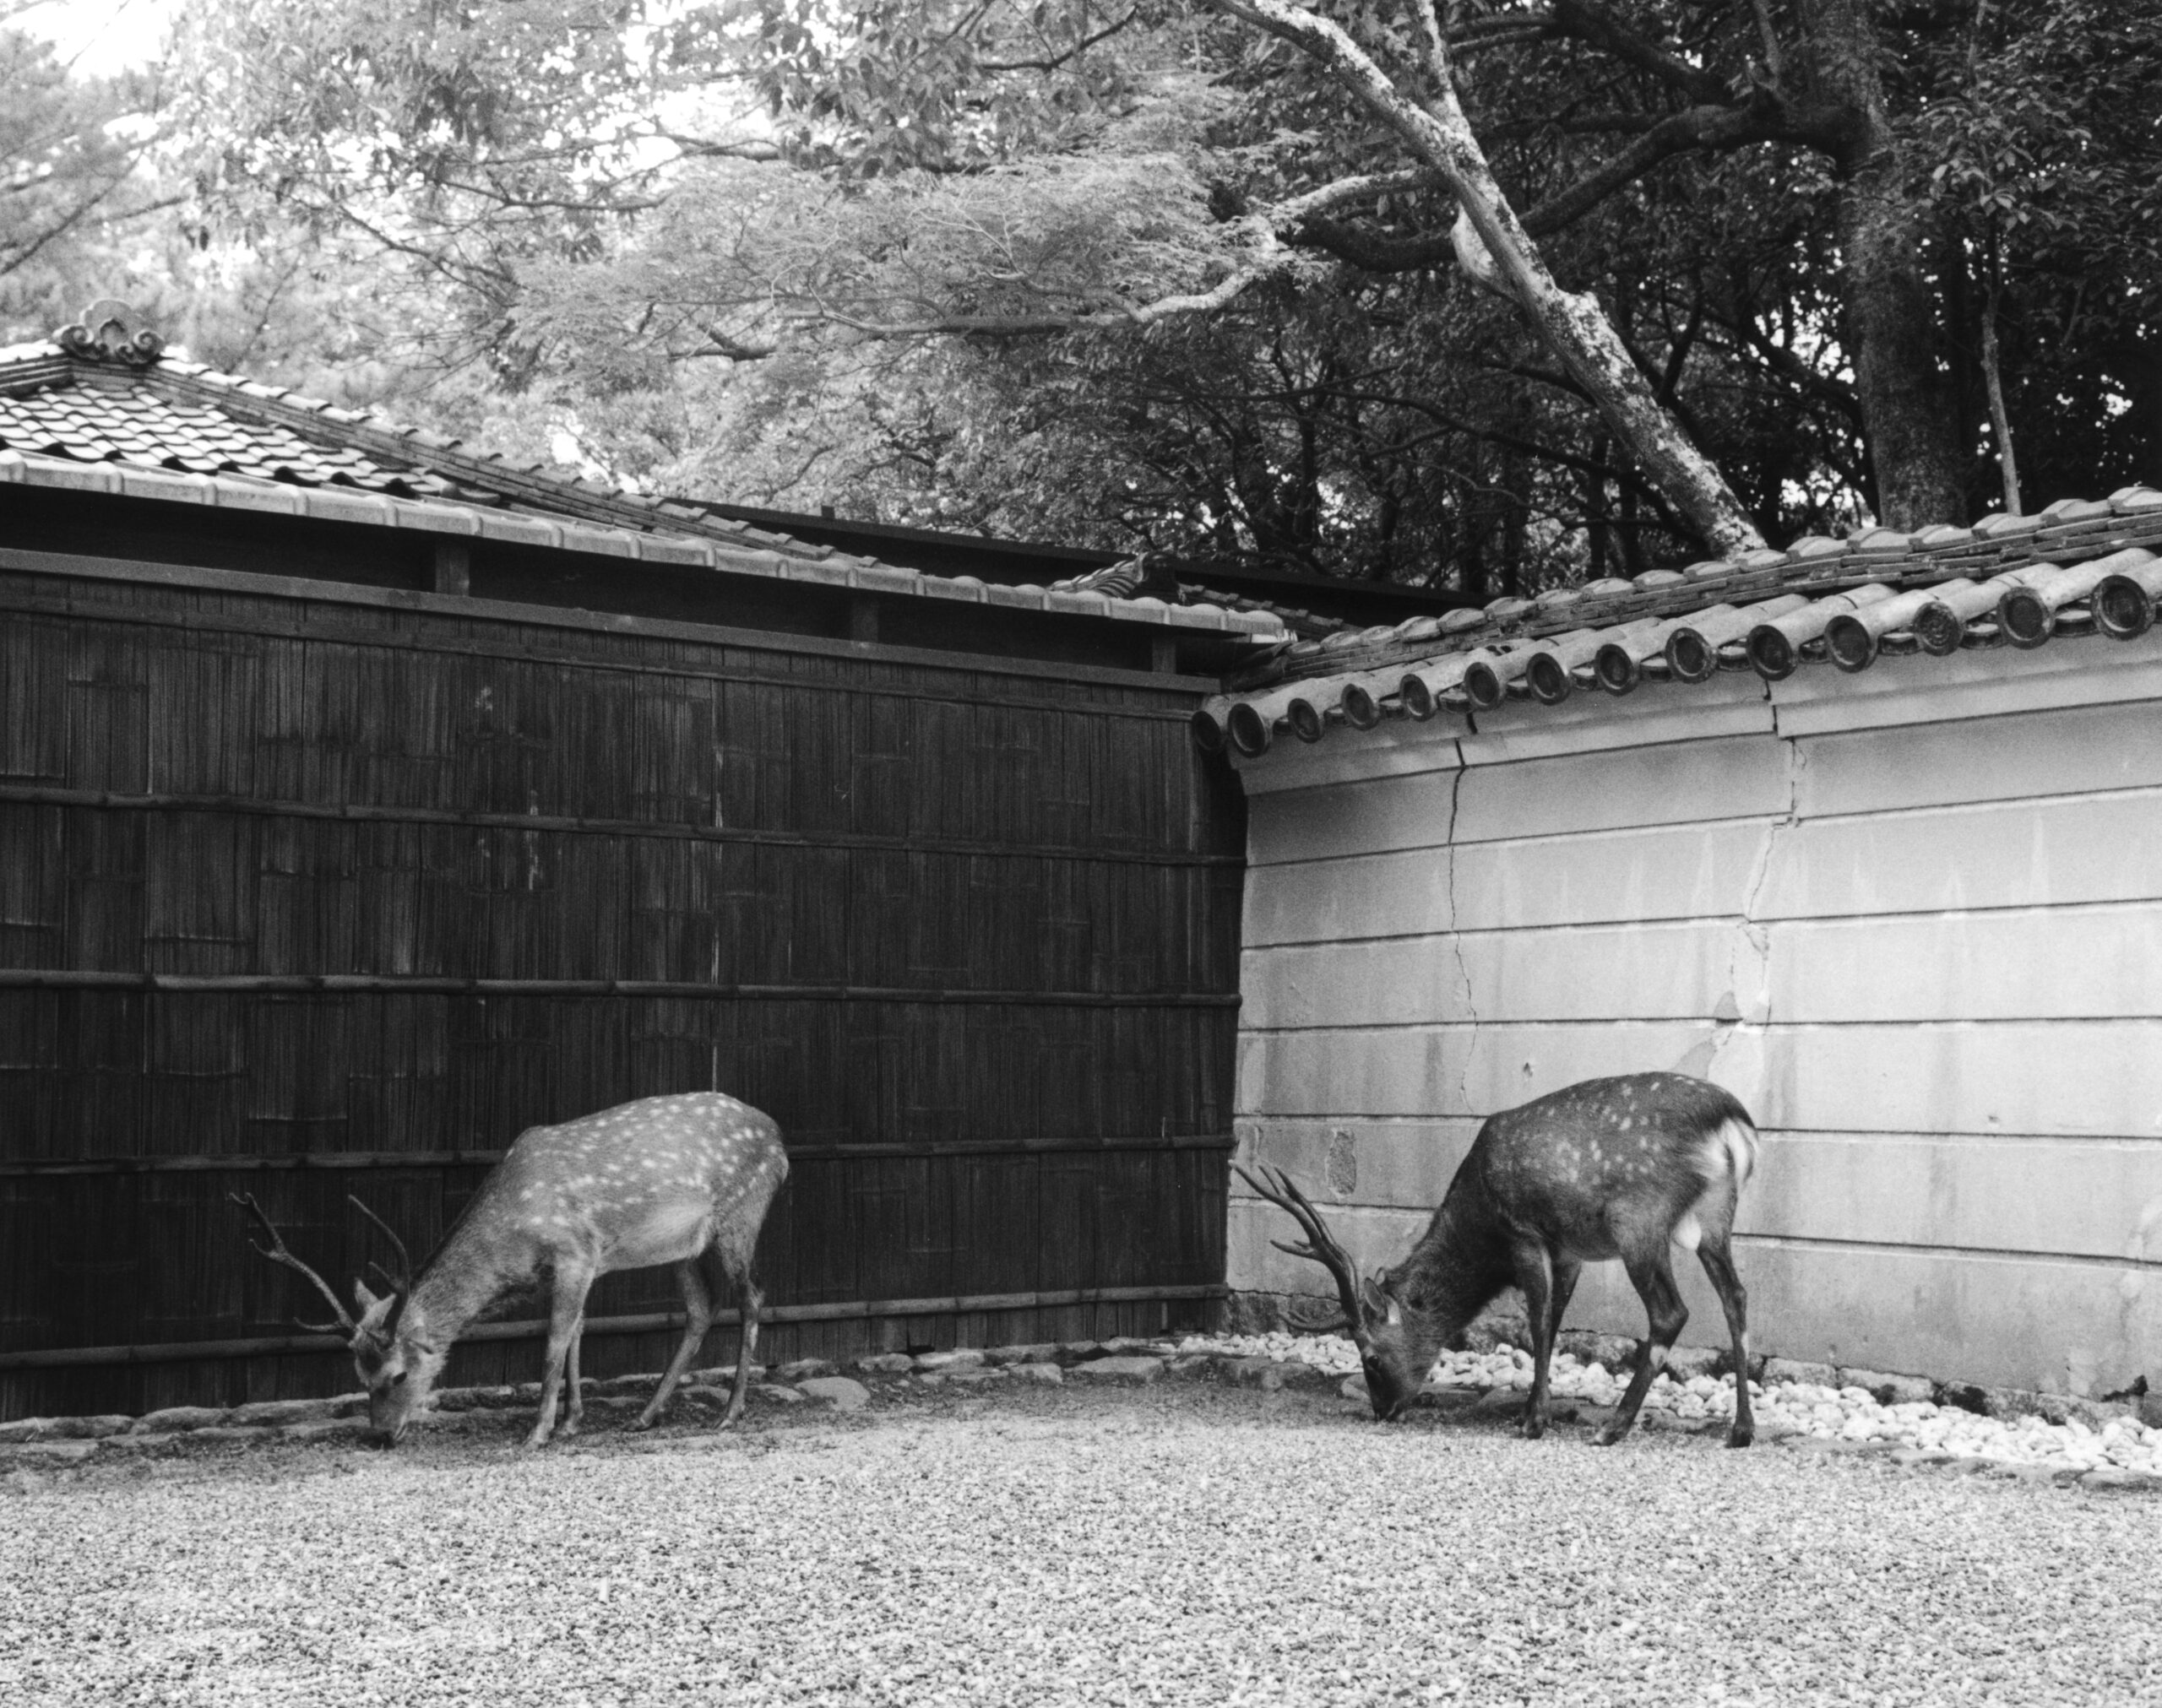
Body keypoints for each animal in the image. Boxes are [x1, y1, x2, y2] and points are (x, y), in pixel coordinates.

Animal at [233, 1091, 788, 1448]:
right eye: (358, 1374)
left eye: (398, 1374)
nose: (379, 1436)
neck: (513, 1246)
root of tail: (780, 1143)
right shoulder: (574, 1268)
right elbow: (576, 1334)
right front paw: (570, 1423)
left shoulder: (574, 1253)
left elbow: (553, 1342)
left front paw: (537, 1432)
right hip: (683, 1246)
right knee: (701, 1308)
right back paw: (645, 1417)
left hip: (742, 1213)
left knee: (753, 1297)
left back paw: (729, 1413)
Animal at [1239, 1072, 1759, 1447]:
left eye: (1370, 1357)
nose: (1381, 1410)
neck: (1479, 1221)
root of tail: (1732, 1125)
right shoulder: (1568, 1250)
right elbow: (1555, 1319)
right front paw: (1534, 1410)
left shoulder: (1524, 1233)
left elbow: (1538, 1324)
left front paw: (1533, 1421)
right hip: (1717, 1216)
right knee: (1735, 1296)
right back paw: (1741, 1430)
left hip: (1639, 1219)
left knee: (1671, 1312)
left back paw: (1612, 1428)